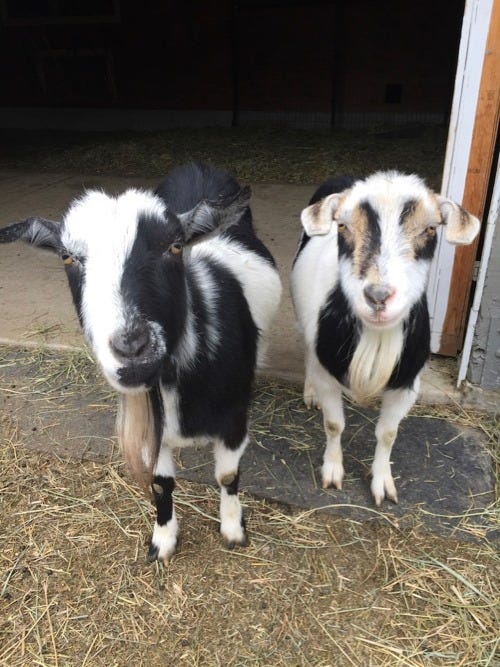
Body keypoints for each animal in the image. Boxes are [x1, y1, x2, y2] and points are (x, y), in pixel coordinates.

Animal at [0, 162, 282, 562]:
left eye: (175, 246)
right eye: (68, 257)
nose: (132, 346)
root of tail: (199, 168)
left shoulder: (234, 418)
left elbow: (227, 477)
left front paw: (232, 530)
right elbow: (161, 484)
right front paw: (162, 542)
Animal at [290, 171, 480, 506]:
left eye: (431, 228)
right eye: (343, 226)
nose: (378, 296)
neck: (376, 335)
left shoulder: (407, 383)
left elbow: (388, 434)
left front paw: (383, 483)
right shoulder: (328, 371)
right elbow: (334, 424)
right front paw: (333, 472)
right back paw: (310, 393)